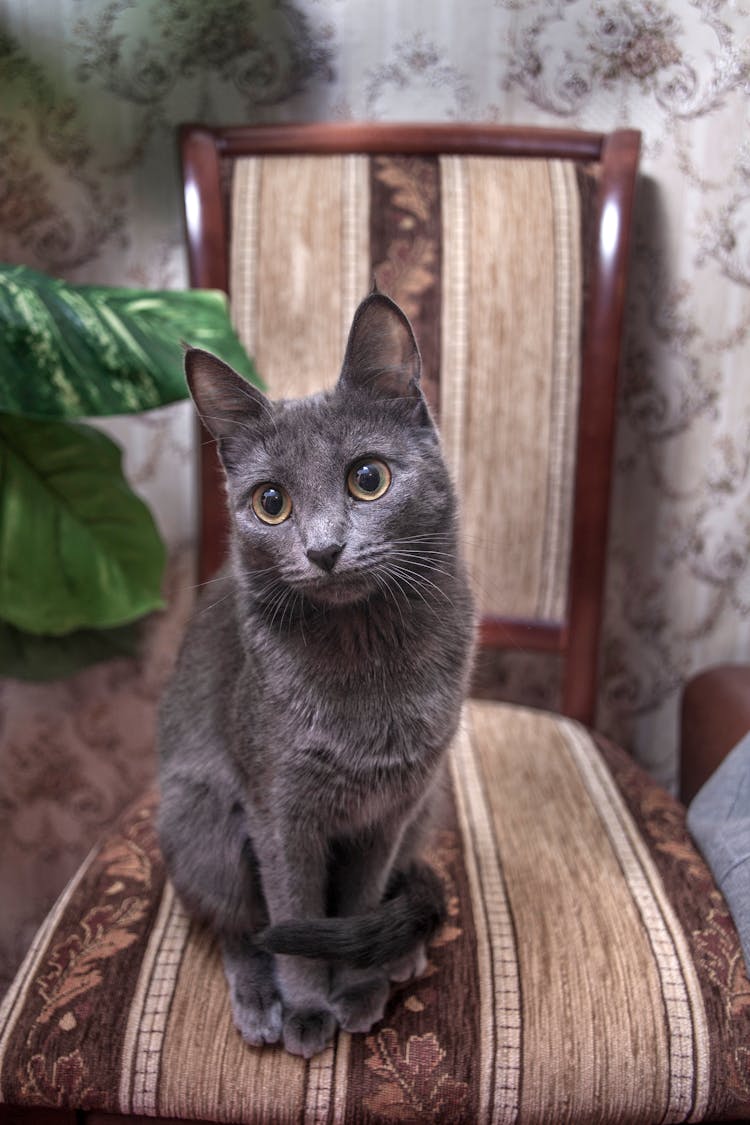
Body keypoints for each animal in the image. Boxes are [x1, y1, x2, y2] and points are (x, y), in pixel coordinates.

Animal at [157, 288, 474, 1053]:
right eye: (271, 503)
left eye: (368, 479)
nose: (325, 549)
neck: (366, 657)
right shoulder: (279, 810)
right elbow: (294, 914)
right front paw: (307, 1006)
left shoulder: (391, 809)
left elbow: (356, 899)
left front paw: (355, 990)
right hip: (201, 817)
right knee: (238, 923)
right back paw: (260, 1000)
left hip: (429, 807)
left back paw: (398, 955)